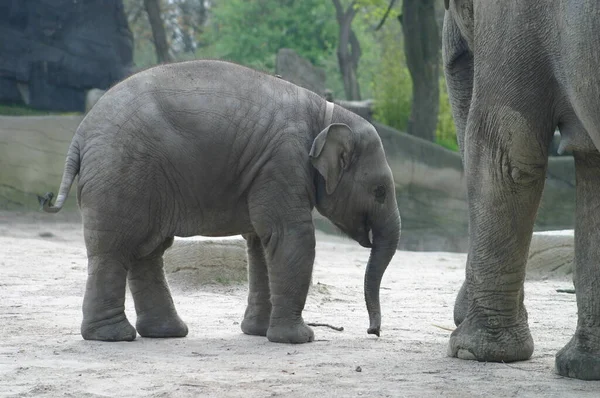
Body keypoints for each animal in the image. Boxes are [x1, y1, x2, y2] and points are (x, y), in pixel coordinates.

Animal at [39, 59, 400, 346]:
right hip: (121, 172)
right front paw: (299, 339)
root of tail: (80, 134)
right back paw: (113, 336)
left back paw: (165, 333)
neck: (326, 113)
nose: (373, 331)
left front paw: (258, 332)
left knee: (147, 250)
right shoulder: (282, 162)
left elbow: (260, 242)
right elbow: (291, 237)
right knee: (115, 249)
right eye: (380, 191)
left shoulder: (266, 171)